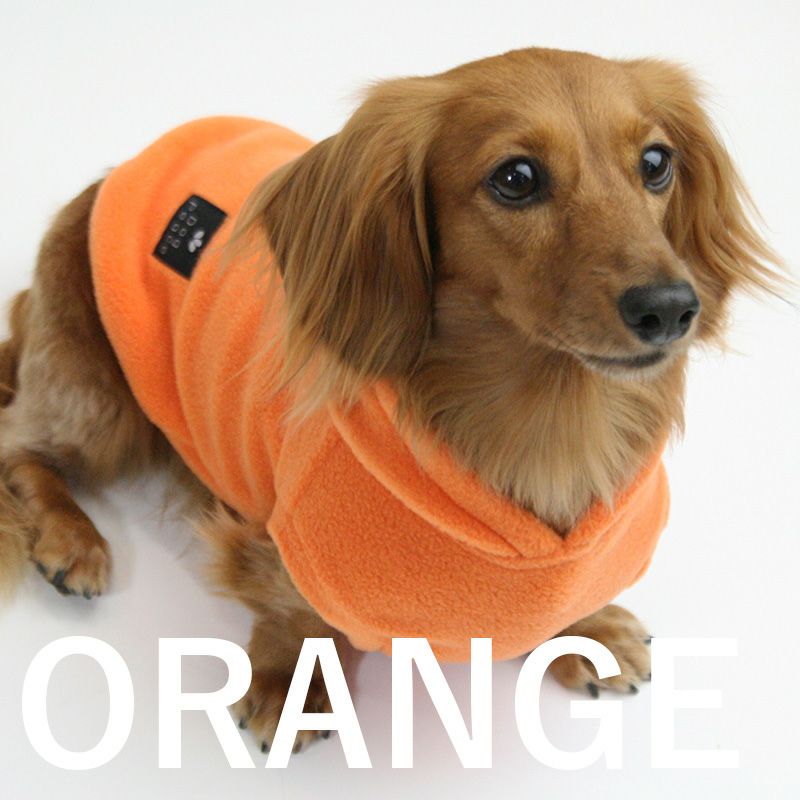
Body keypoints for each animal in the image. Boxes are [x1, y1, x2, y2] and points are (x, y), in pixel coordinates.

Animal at [0, 47, 779, 753]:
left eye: (656, 163)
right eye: (516, 178)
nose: (671, 308)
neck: (552, 425)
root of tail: (116, 172)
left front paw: (584, 630)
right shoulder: (287, 535)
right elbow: (295, 615)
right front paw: (291, 686)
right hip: (96, 395)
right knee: (19, 445)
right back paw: (72, 539)